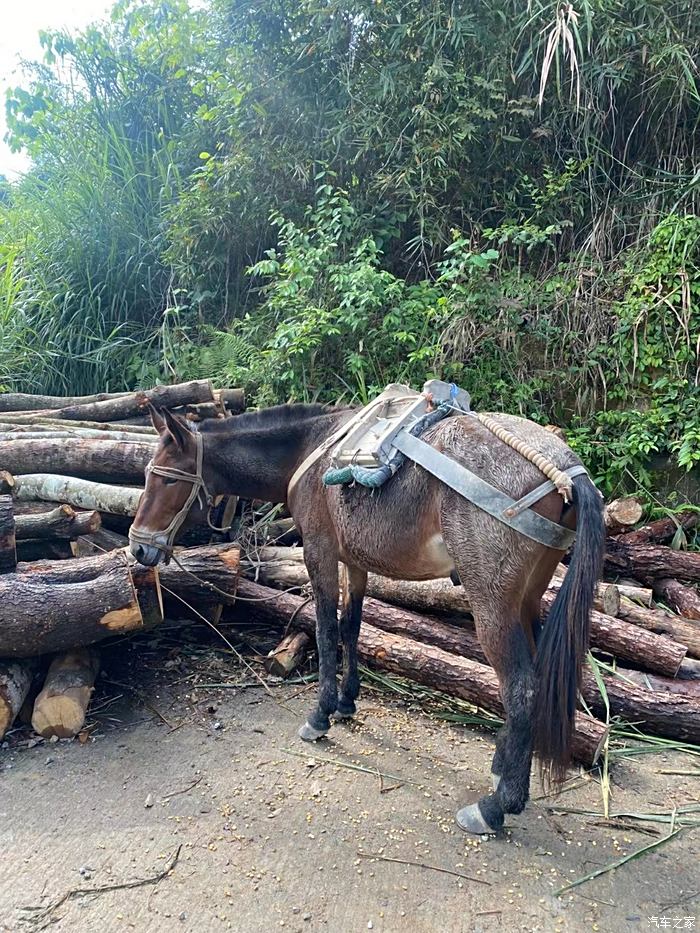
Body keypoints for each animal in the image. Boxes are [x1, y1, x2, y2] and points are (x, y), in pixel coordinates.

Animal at [130, 400, 600, 832]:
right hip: (526, 600)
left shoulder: (318, 552)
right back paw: (504, 769)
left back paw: (496, 806)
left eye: (165, 477)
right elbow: (351, 627)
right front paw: (345, 702)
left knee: (520, 688)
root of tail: (565, 468)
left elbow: (324, 629)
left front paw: (320, 716)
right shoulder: (354, 563)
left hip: (493, 606)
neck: (311, 448)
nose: (138, 548)